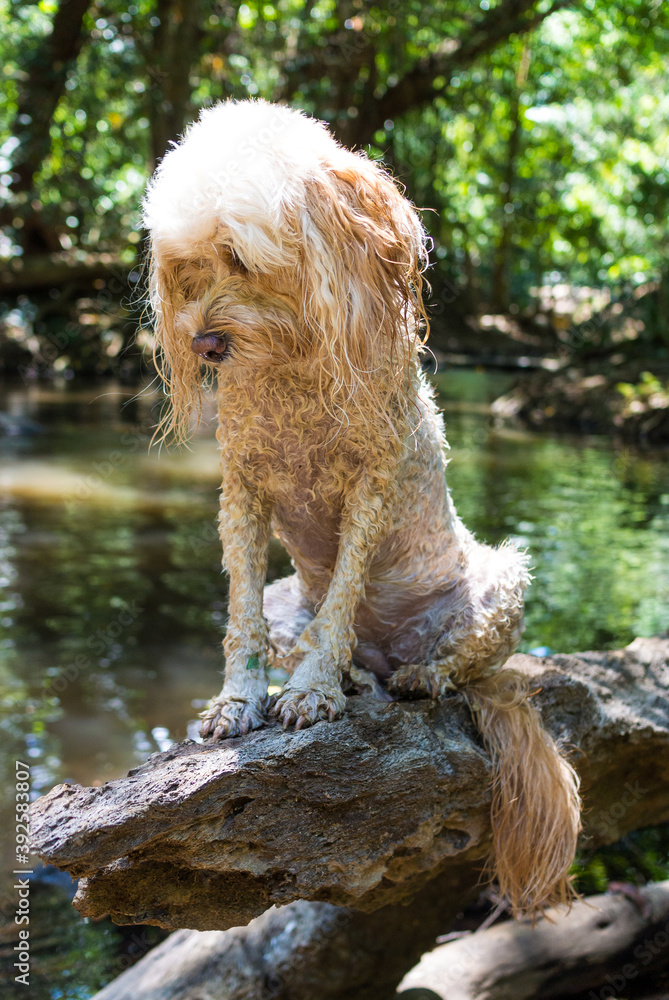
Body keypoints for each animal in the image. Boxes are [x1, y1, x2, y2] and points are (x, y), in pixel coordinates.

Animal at [142, 99, 580, 916]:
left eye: (240, 257)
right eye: (187, 267)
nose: (205, 343)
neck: (291, 364)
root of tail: (383, 655)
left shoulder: (368, 487)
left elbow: (344, 596)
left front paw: (312, 694)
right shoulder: (243, 492)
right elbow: (241, 616)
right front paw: (236, 702)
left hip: (500, 586)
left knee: (459, 664)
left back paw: (413, 677)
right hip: (294, 597)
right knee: (320, 639)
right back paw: (352, 677)